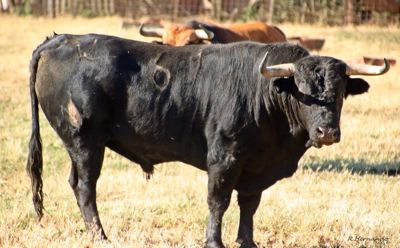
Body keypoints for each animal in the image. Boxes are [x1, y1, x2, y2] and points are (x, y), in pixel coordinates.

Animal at [27, 34, 388, 248]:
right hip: (86, 141)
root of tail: (60, 40)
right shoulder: (225, 157)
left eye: (340, 92)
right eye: (303, 90)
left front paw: (246, 241)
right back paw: (101, 236)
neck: (265, 94)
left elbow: (249, 204)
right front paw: (214, 241)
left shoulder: (256, 167)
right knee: (85, 186)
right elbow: (218, 201)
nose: (327, 132)